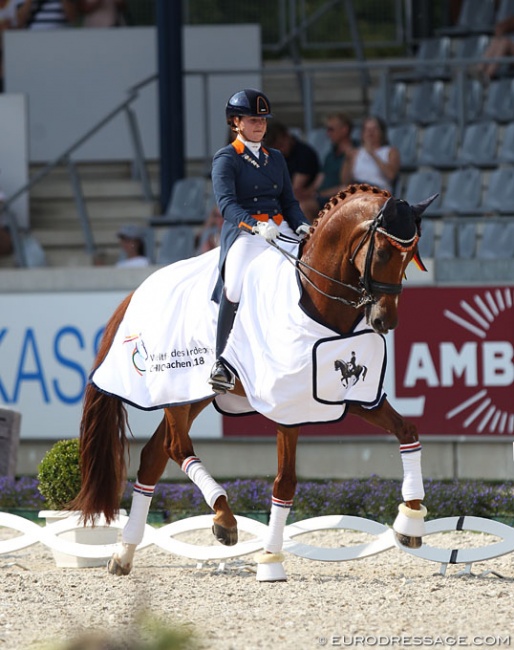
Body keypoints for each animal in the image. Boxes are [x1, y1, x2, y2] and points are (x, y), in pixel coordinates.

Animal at [71, 185, 432, 580]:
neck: (317, 299)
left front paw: (410, 522)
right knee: (177, 448)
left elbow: (408, 431)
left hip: (194, 395)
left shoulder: (348, 397)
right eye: (382, 252)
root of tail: (139, 291)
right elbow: (284, 482)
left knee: (153, 456)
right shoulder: (286, 407)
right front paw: (271, 559)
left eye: (411, 256)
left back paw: (124, 552)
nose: (385, 321)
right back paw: (223, 518)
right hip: (174, 390)